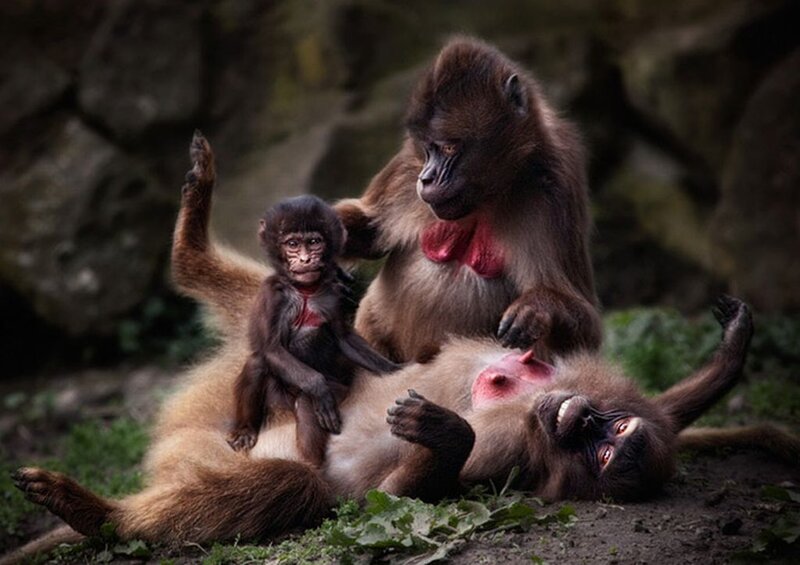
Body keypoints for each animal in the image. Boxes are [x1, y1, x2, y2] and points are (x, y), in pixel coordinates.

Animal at [228, 194, 401, 465]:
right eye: (292, 244)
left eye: (313, 242)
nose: (305, 260)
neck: (304, 291)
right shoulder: (271, 294)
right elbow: (272, 349)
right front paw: (318, 388)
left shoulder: (332, 294)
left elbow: (344, 338)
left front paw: (394, 369)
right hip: (278, 401)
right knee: (258, 365)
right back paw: (248, 431)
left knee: (305, 403)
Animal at [334, 37, 601, 363]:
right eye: (428, 147)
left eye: (449, 148)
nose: (426, 178)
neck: (491, 193)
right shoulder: (408, 165)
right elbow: (370, 230)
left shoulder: (554, 189)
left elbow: (584, 333)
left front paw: (539, 308)